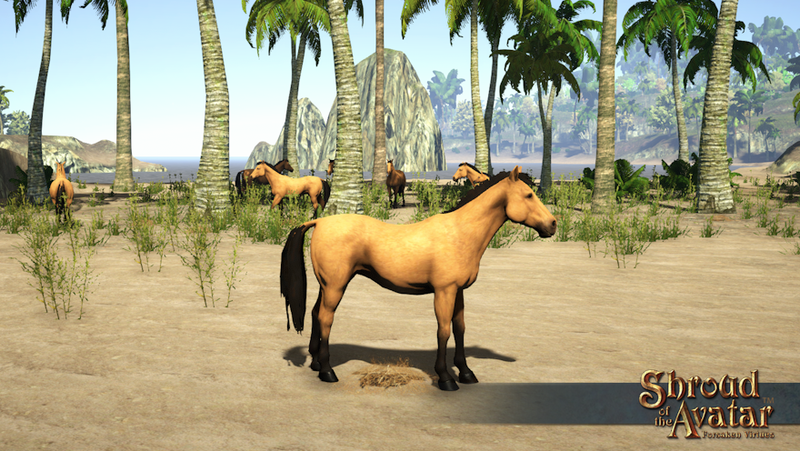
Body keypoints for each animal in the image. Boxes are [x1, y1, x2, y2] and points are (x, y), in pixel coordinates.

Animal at [280, 166, 557, 391]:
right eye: (528, 195)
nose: (553, 225)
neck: (460, 233)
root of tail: (319, 221)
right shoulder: (444, 291)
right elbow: (443, 330)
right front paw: (446, 378)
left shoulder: (458, 291)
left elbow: (460, 328)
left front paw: (466, 373)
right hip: (336, 285)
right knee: (326, 319)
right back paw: (328, 372)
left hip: (327, 285)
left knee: (315, 313)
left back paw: (316, 364)